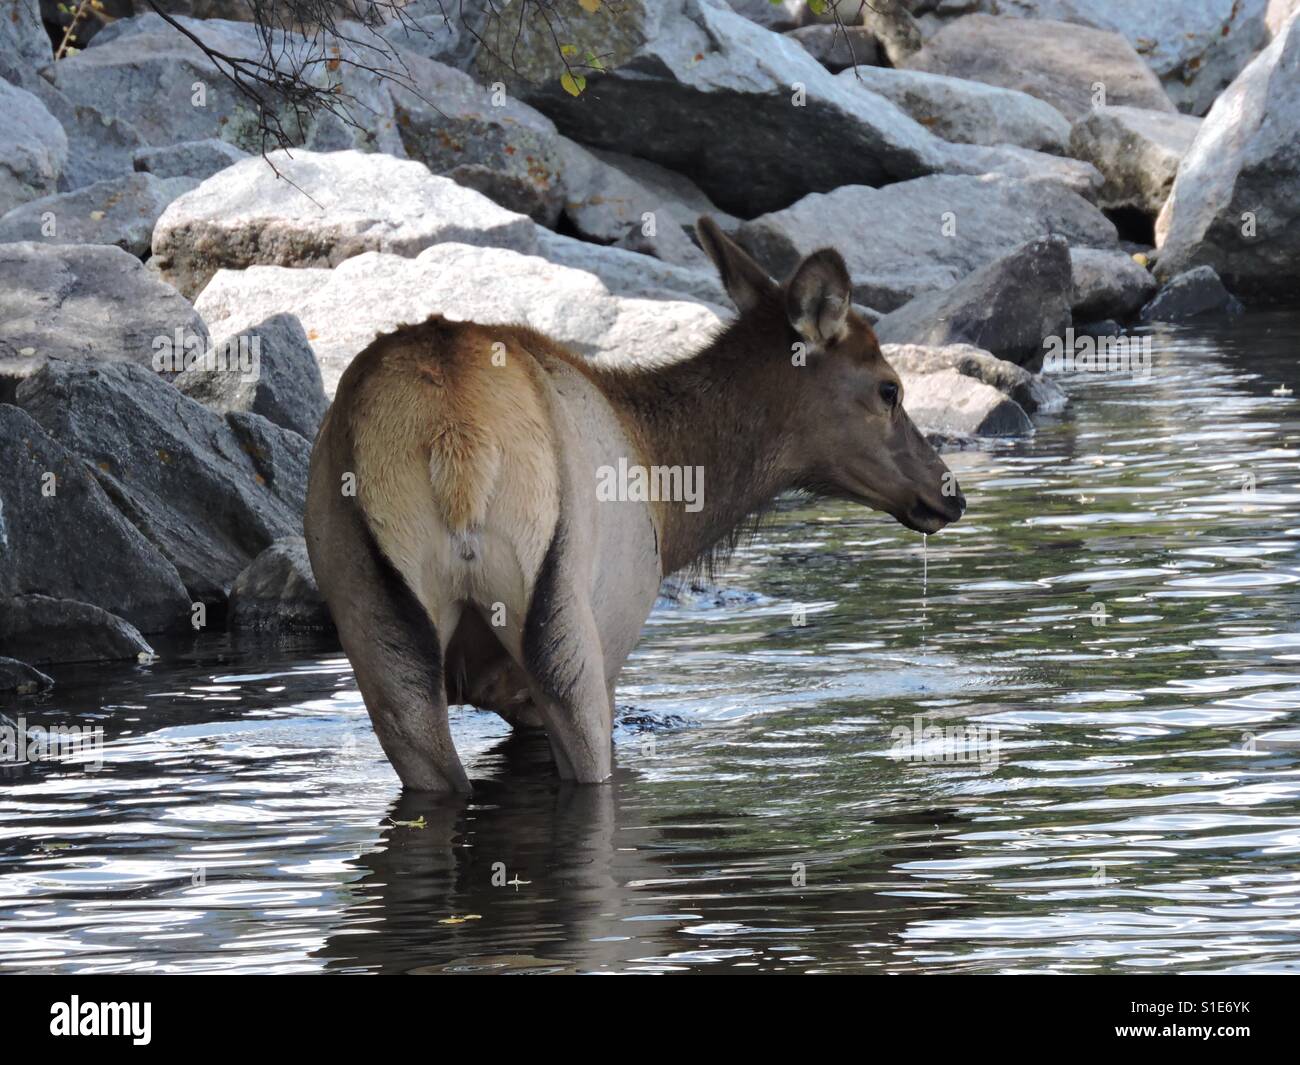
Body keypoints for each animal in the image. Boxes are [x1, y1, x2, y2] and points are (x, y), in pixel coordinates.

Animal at [304, 218, 967, 790]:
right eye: (889, 389)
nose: (948, 493)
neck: (670, 501)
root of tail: (451, 430)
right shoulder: (603, 657)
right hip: (565, 625)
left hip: (377, 623)